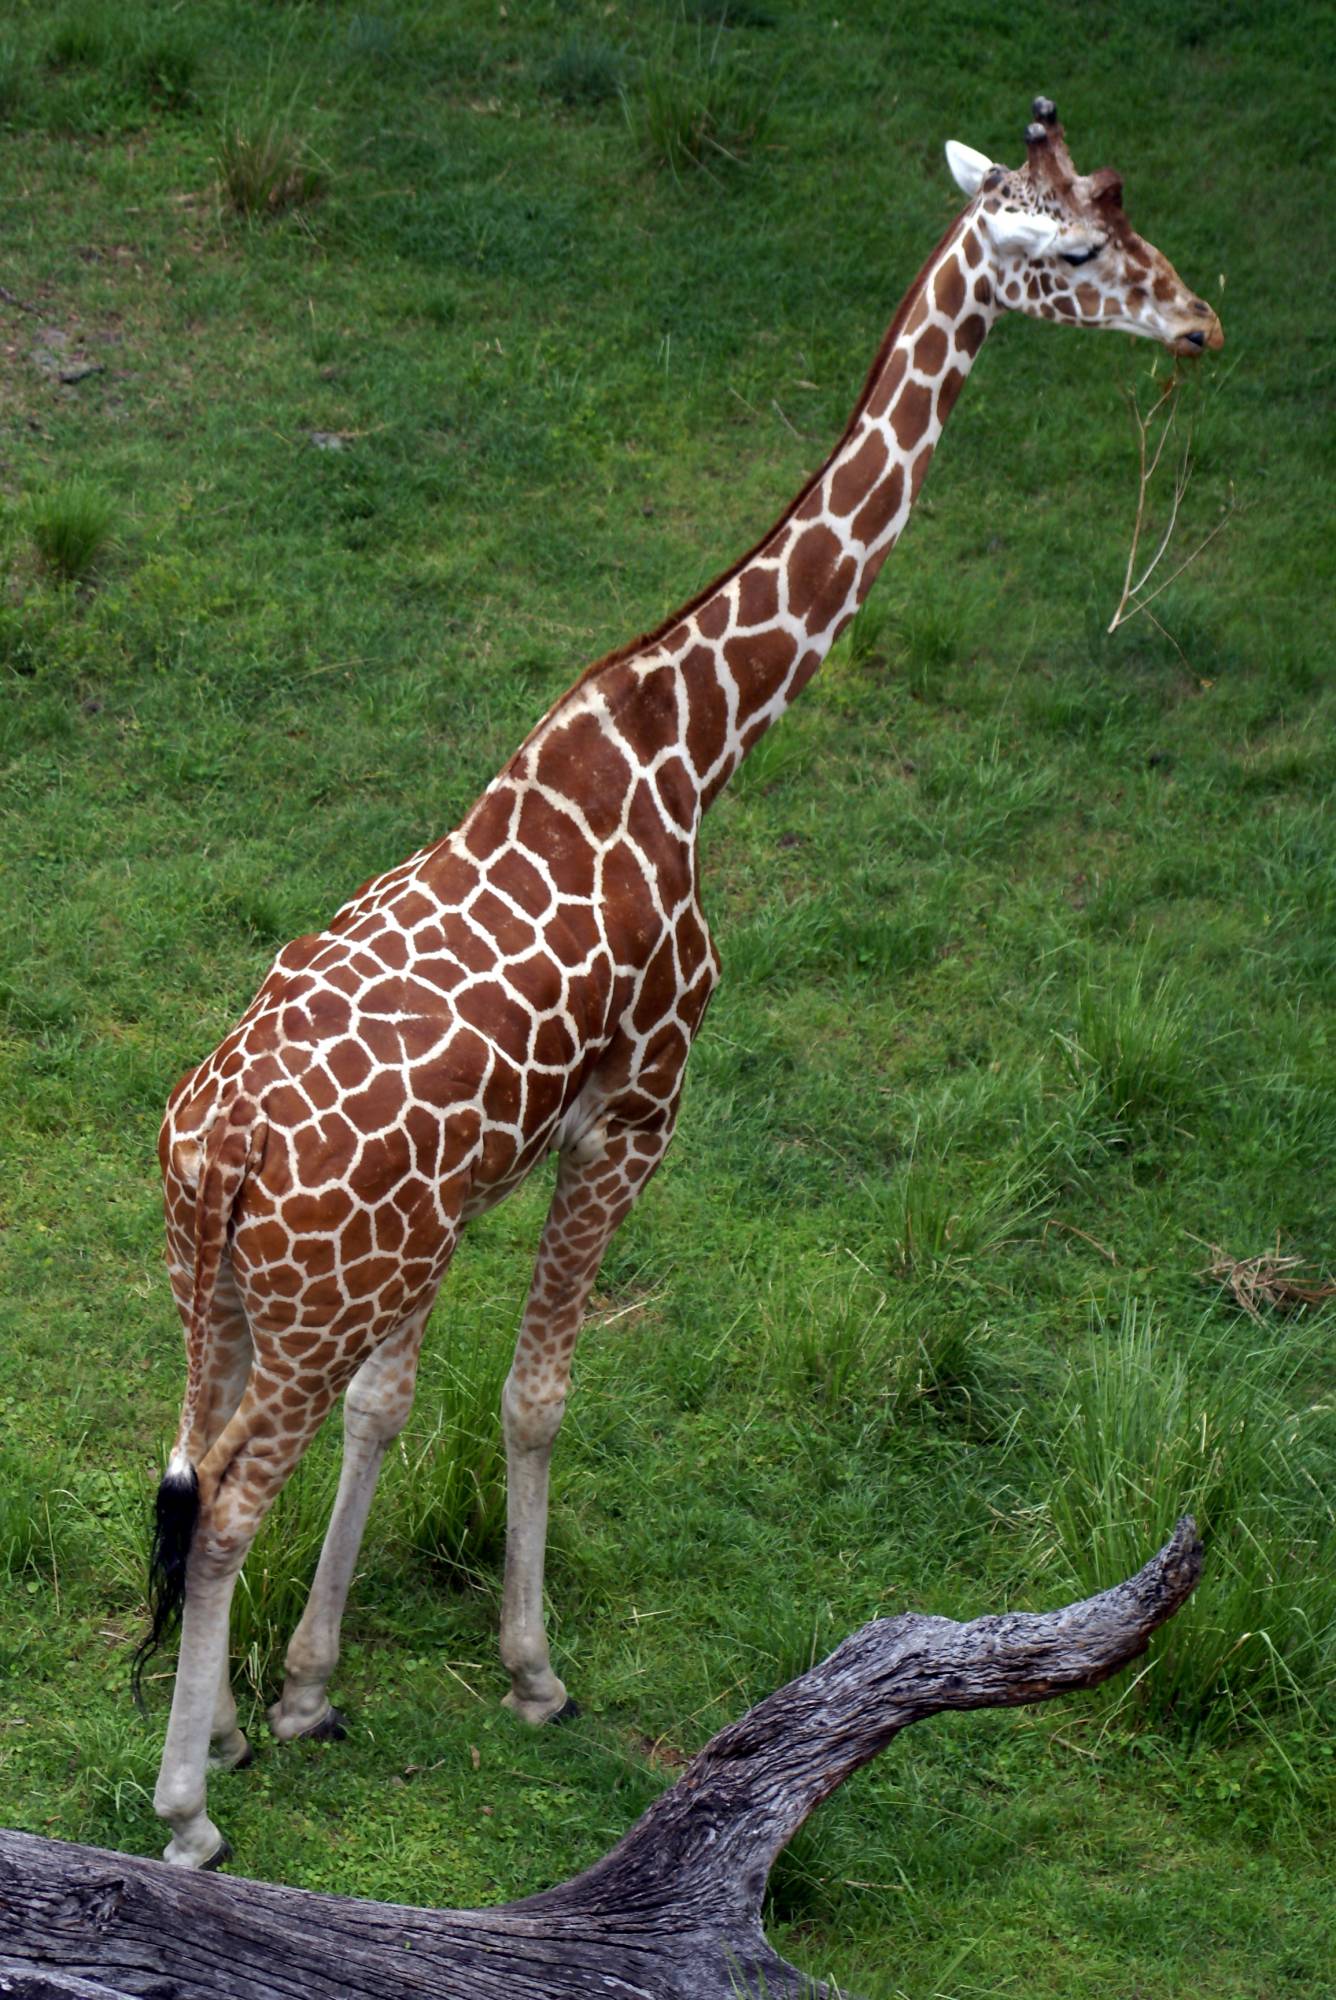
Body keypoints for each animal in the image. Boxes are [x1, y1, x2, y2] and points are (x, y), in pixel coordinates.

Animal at [144, 101, 1224, 1864]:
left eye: (1129, 220)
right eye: (1075, 245)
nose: (1198, 325)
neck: (695, 746)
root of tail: (216, 1147)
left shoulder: (462, 1199)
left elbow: (396, 1406)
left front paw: (301, 1691)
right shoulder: (636, 1110)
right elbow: (534, 1396)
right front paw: (532, 1673)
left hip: (221, 1280)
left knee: (191, 1450)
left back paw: (218, 1729)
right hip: (309, 1289)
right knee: (230, 1491)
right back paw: (183, 1808)